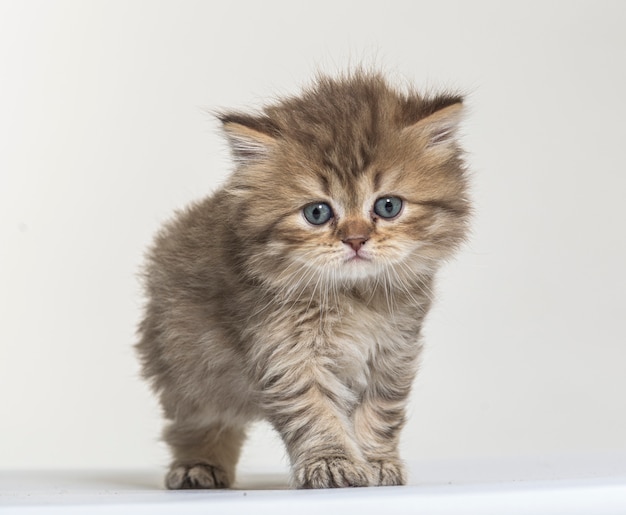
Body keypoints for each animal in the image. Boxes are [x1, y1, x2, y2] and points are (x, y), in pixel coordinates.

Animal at [136, 70, 468, 490]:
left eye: (388, 206)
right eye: (317, 213)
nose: (355, 240)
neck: (353, 298)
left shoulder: (393, 352)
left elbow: (380, 412)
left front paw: (377, 462)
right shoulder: (284, 352)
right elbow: (315, 414)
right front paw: (332, 462)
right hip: (186, 367)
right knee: (197, 424)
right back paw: (199, 466)